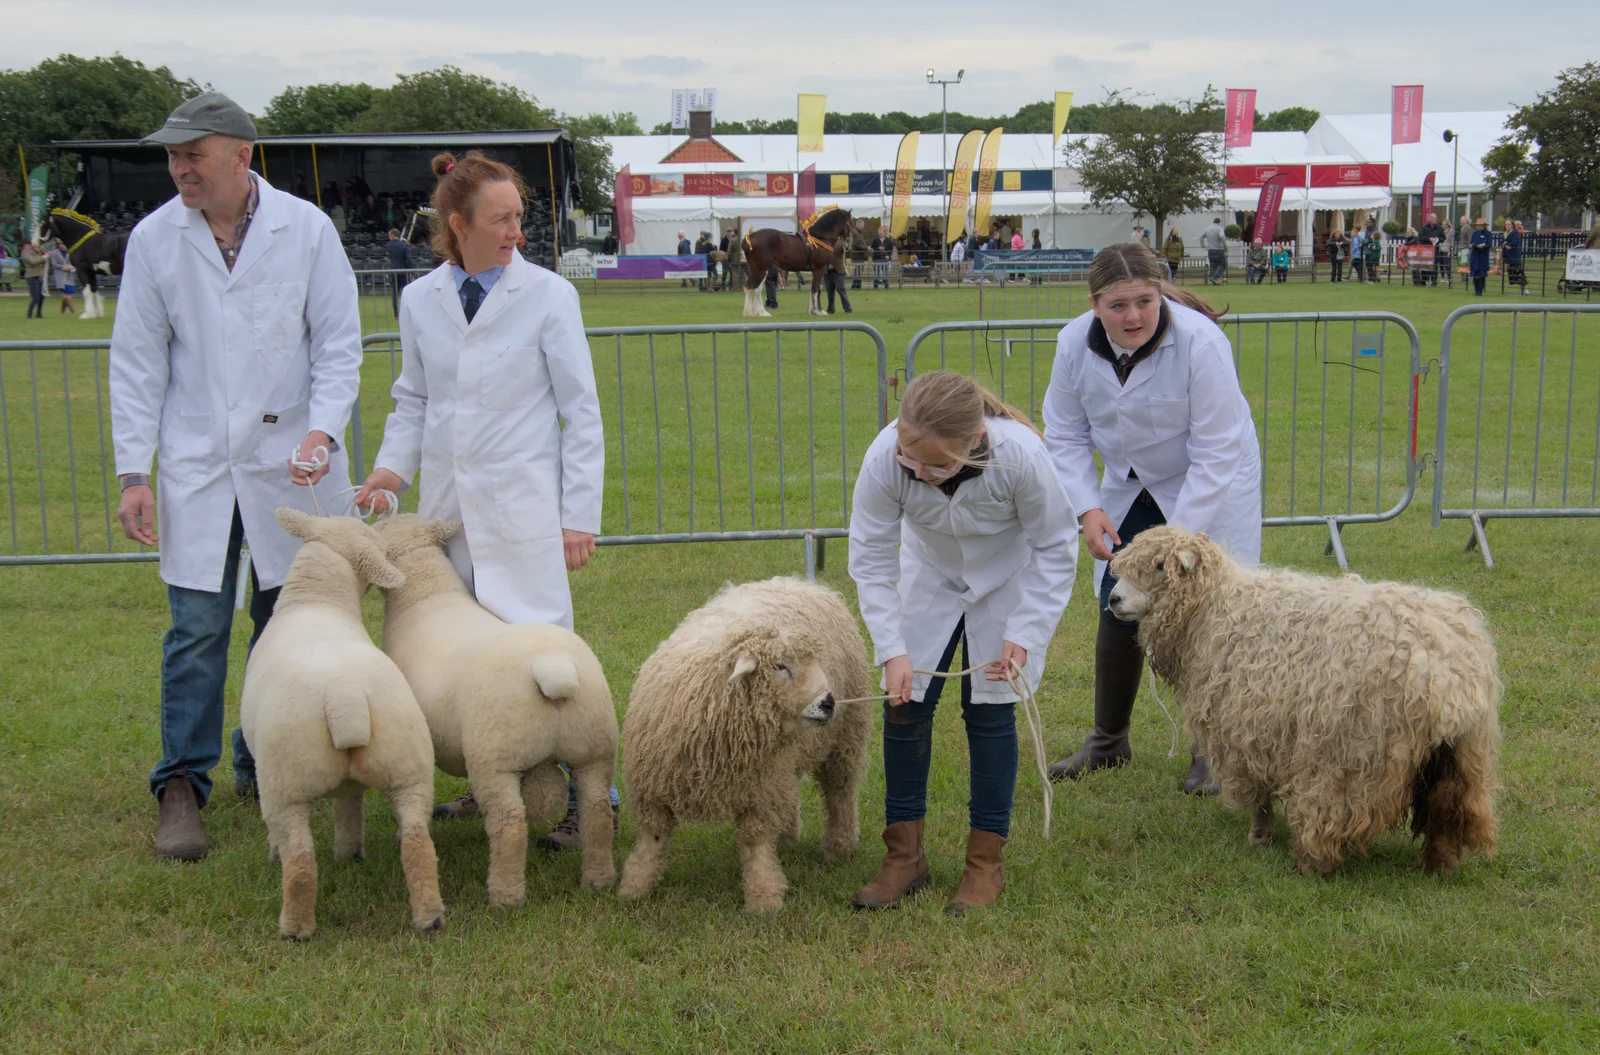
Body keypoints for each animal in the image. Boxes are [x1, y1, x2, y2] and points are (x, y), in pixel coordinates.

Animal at [233, 512, 444, 941]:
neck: (317, 600)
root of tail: (345, 698)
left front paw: (279, 853)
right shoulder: (352, 781)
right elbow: (349, 809)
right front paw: (349, 854)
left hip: (284, 786)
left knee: (299, 860)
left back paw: (295, 929)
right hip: (409, 769)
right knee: (418, 844)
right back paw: (430, 918)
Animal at [374, 512, 617, 909]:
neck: (426, 594)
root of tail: (554, 668)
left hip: (496, 759)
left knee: (510, 823)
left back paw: (504, 896)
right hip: (594, 749)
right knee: (596, 812)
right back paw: (598, 880)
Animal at [620, 573, 876, 909]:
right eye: (780, 666)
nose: (829, 703)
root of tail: (798, 583)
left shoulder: (761, 791)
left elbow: (756, 844)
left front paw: (764, 897)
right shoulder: (652, 789)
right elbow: (653, 837)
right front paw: (635, 887)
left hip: (844, 740)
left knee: (840, 793)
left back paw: (840, 846)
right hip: (786, 764)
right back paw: (788, 837)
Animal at [1113, 525, 1497, 877]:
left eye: (1160, 566)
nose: (1114, 599)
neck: (1213, 608)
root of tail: (1443, 671)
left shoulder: (1244, 729)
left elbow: (1258, 795)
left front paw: (1259, 835)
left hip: (1347, 754)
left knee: (1330, 810)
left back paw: (1312, 862)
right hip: (1461, 754)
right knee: (1448, 806)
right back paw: (1439, 865)